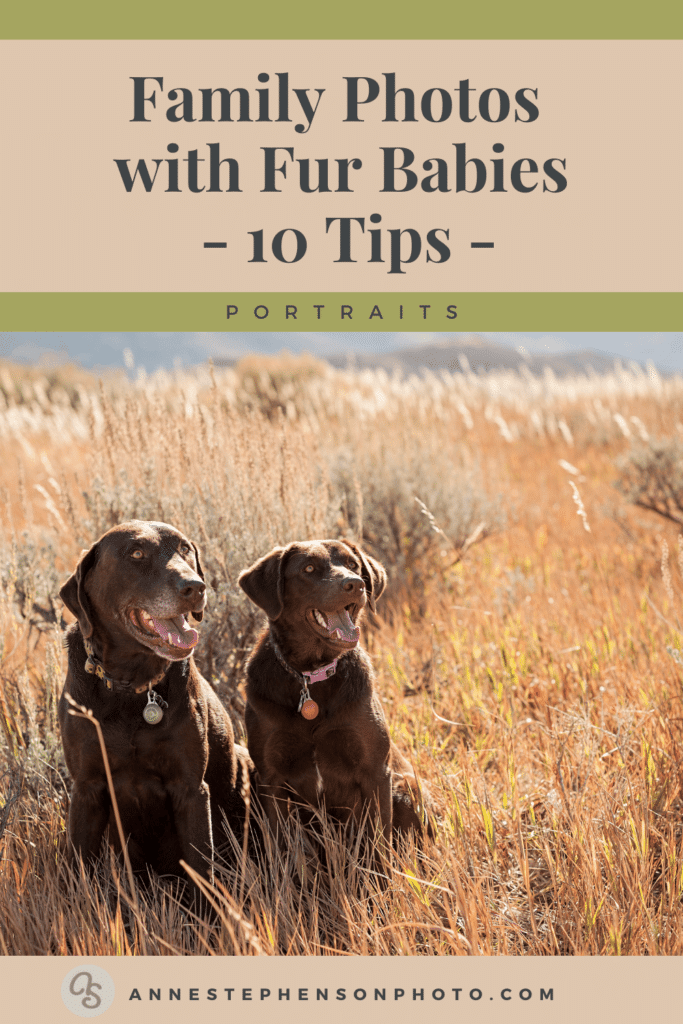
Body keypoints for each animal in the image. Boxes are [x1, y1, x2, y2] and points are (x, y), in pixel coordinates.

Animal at [58, 524, 250, 884]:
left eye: (185, 548)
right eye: (136, 553)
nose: (195, 587)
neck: (131, 688)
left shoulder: (191, 788)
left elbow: (201, 868)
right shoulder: (87, 788)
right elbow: (78, 870)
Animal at [237, 536, 430, 847]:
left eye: (353, 564)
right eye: (309, 568)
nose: (355, 584)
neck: (312, 675)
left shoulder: (376, 771)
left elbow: (379, 843)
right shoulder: (270, 777)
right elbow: (281, 846)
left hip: (406, 788)